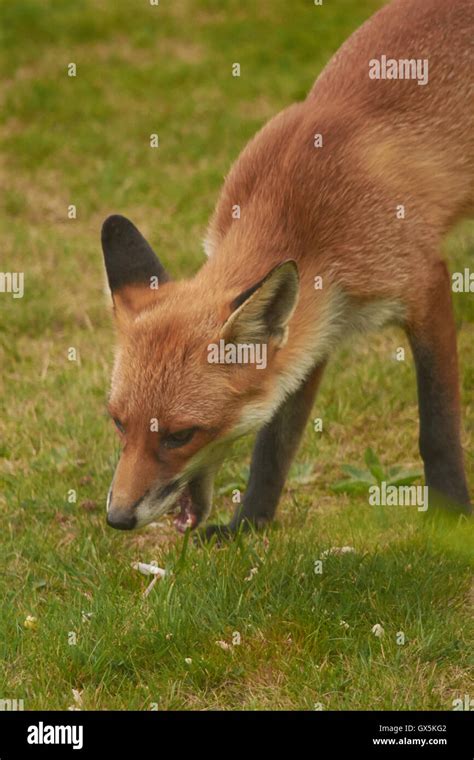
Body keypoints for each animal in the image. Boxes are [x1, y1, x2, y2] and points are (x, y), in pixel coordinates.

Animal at [102, 0, 472, 536]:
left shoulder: (425, 283)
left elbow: (438, 427)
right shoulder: (312, 327)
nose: (117, 518)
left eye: (180, 435)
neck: (297, 213)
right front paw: (248, 526)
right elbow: (274, 446)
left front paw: (452, 519)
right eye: (118, 422)